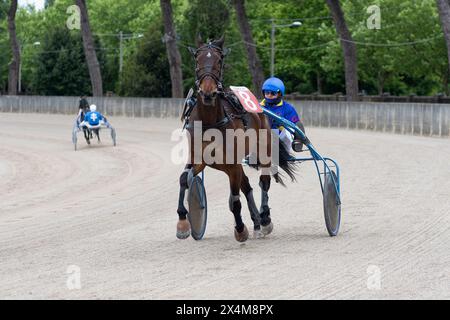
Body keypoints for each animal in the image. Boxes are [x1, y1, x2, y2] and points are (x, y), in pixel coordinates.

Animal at [175, 36, 296, 241]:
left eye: (219, 60)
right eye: (197, 59)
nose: (208, 93)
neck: (210, 122)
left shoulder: (232, 164)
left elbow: (234, 200)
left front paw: (240, 229)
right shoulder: (199, 158)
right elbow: (184, 179)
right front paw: (183, 222)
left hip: (261, 152)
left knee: (263, 182)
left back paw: (264, 219)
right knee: (246, 186)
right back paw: (257, 221)